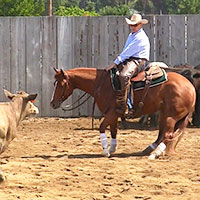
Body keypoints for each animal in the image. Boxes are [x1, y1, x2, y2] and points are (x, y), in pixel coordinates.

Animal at [50, 68, 195, 159]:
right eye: (54, 83)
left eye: (61, 84)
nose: (52, 103)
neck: (102, 84)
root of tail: (190, 86)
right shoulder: (113, 115)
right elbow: (113, 130)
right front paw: (112, 149)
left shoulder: (112, 113)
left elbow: (102, 127)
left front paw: (106, 151)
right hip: (164, 114)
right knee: (162, 134)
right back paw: (149, 149)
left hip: (171, 116)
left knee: (168, 134)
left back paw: (155, 154)